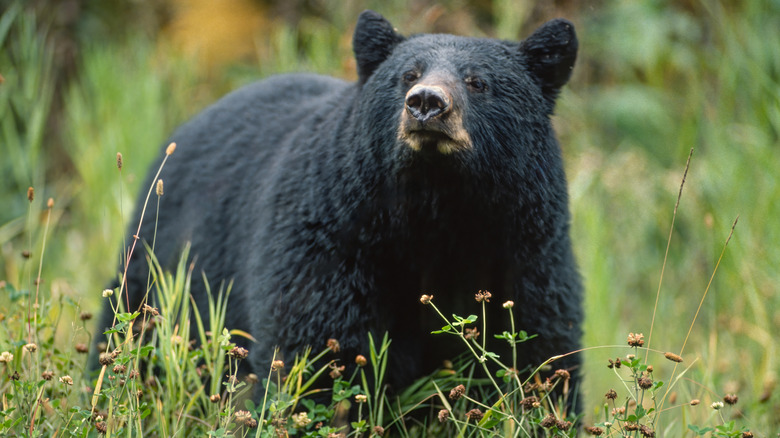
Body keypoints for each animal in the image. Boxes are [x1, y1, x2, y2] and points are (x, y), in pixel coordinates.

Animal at [97, 9, 582, 413]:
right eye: (407, 75)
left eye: (477, 81)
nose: (426, 102)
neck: (433, 211)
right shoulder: (333, 242)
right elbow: (317, 356)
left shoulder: (526, 253)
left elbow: (538, 352)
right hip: (159, 268)